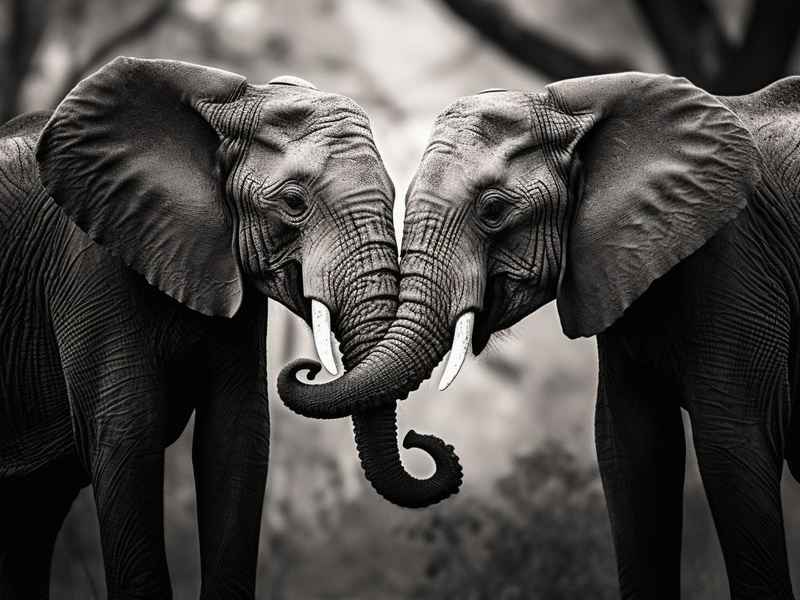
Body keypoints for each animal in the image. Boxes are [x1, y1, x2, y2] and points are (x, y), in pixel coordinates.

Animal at [279, 72, 800, 598]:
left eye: (493, 210)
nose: (415, 439)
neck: (578, 103)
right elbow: (631, 450)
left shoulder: (736, 262)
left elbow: (730, 445)